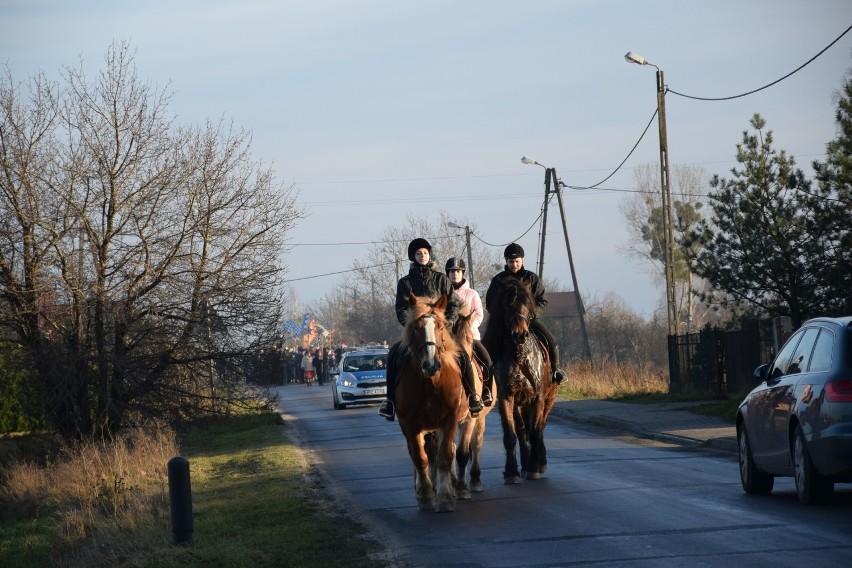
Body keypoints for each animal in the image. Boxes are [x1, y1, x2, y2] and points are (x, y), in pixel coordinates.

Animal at [394, 296, 466, 512]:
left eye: (440, 326)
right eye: (416, 328)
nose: (431, 365)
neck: (430, 383)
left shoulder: (449, 419)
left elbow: (444, 457)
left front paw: (444, 497)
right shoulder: (410, 424)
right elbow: (420, 457)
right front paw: (425, 496)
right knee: (418, 454)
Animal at [480, 278, 560, 482]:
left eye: (527, 303)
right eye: (506, 304)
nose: (520, 334)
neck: (520, 356)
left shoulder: (538, 398)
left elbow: (536, 432)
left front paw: (534, 467)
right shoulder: (507, 398)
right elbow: (511, 435)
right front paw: (511, 472)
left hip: (549, 399)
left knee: (540, 428)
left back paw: (540, 462)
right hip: (520, 403)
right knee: (522, 430)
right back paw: (524, 464)